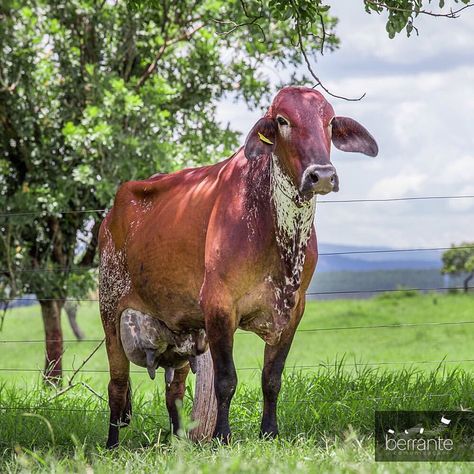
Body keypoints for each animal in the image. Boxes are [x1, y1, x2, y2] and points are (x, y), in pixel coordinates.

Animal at [99, 86, 378, 448]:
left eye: (330, 122)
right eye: (282, 120)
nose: (323, 176)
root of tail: (110, 215)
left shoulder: (293, 311)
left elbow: (271, 378)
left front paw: (270, 432)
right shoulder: (219, 307)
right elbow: (226, 381)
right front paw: (222, 436)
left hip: (180, 335)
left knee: (174, 392)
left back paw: (178, 442)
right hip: (110, 311)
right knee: (117, 385)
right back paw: (112, 445)